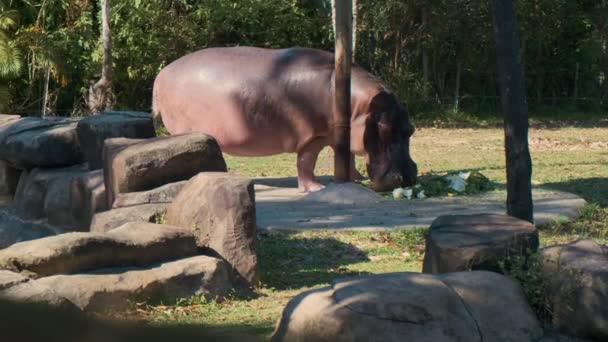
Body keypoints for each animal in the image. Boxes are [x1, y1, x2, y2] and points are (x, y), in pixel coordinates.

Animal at [152, 46, 418, 192]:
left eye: (410, 129)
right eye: (384, 129)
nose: (407, 179)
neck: (357, 107)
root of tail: (161, 74)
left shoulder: (341, 134)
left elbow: (347, 156)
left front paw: (356, 179)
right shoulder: (314, 136)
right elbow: (306, 162)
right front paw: (316, 189)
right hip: (185, 132)